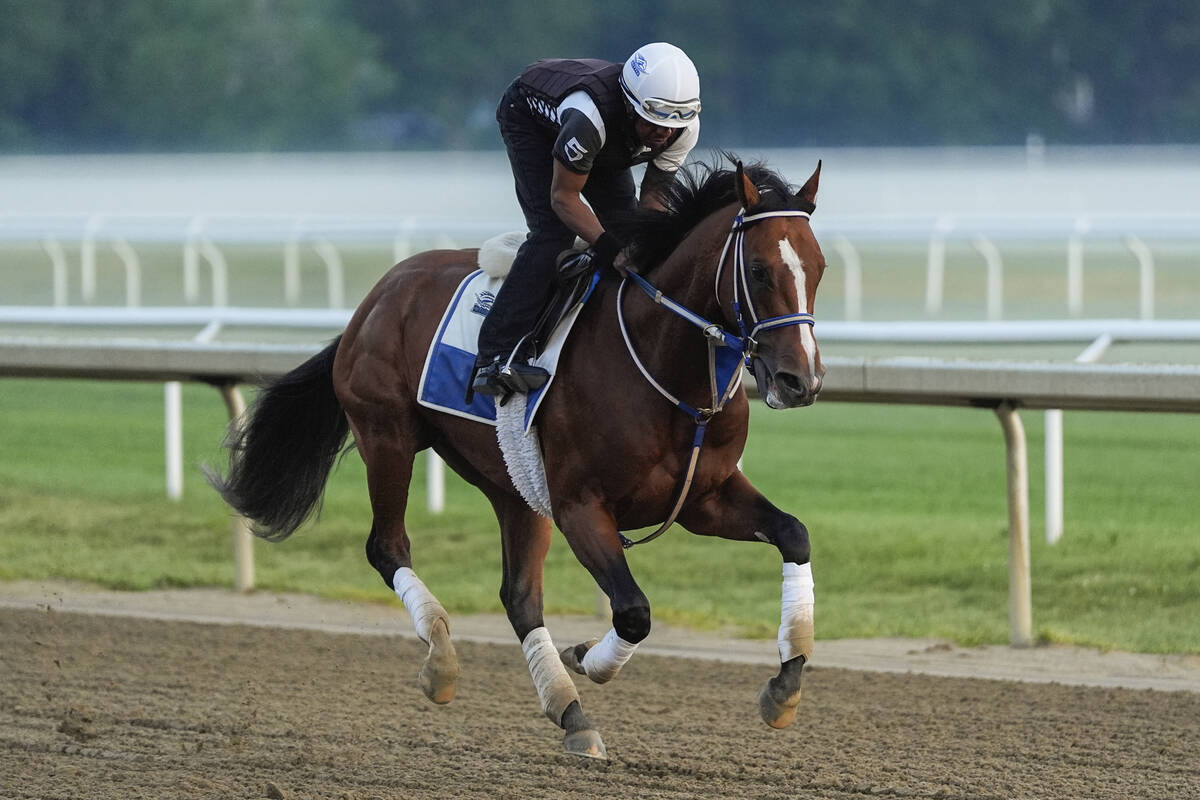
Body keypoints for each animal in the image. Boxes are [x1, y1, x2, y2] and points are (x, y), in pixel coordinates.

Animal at [213, 154, 825, 758]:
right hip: (386, 436)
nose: (801, 380)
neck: (667, 371)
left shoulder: (704, 498)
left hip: (513, 486)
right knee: (387, 547)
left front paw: (785, 685)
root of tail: (377, 296)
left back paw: (569, 710)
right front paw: (587, 658)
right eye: (759, 271)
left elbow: (793, 534)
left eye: (817, 269)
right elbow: (633, 611)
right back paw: (442, 660)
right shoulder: (580, 507)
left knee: (519, 598)